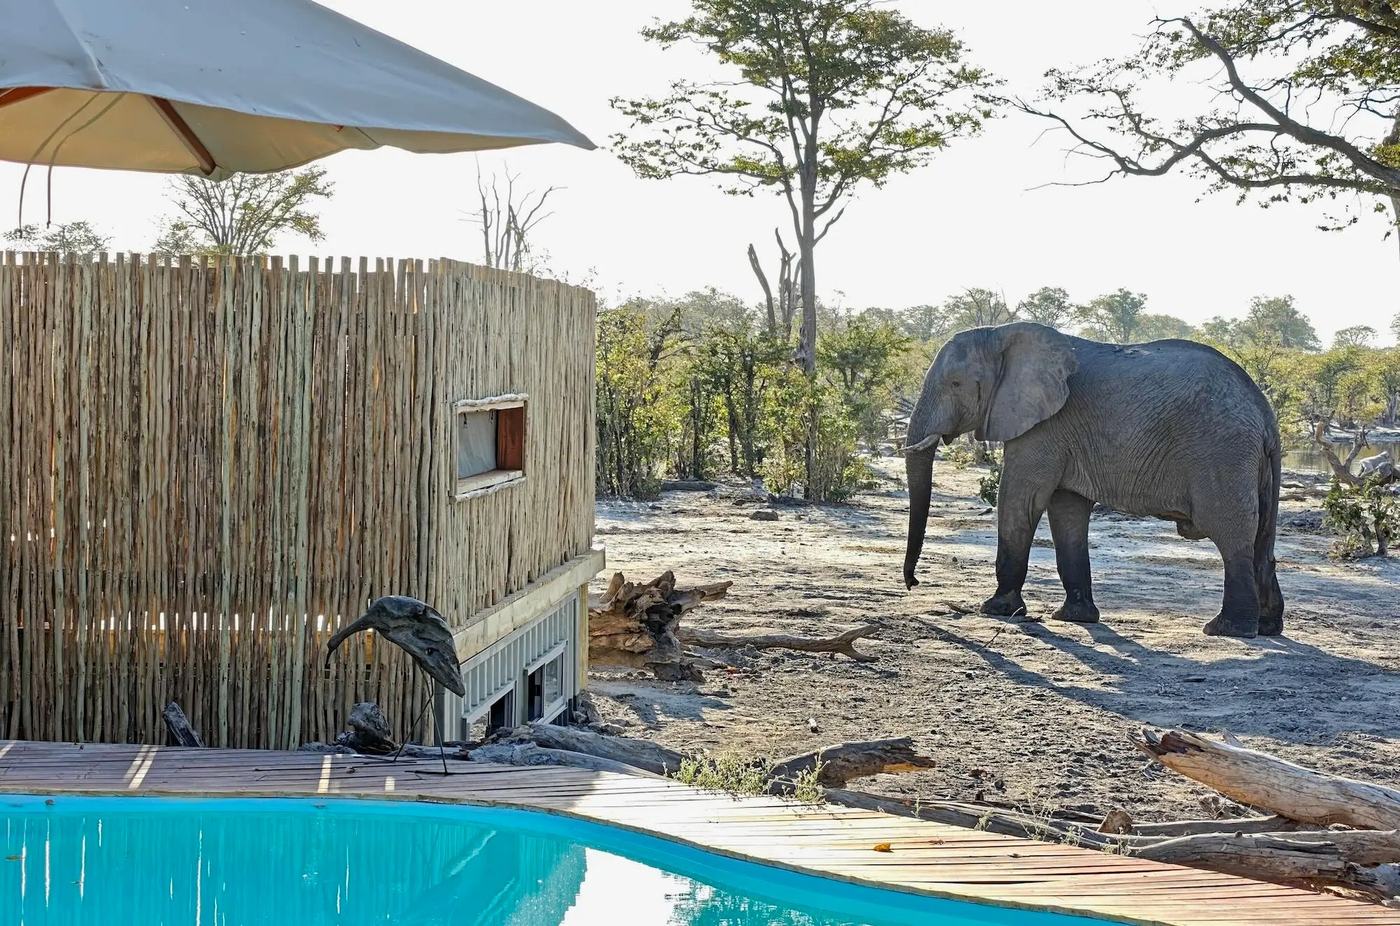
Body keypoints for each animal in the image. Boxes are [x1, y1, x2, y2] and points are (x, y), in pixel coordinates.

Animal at [902, 322, 1283, 639]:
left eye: (955, 384)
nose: (913, 583)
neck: (1000, 335)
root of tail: (1265, 413)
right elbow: (1067, 511)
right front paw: (1075, 617)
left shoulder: (1044, 427)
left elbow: (1019, 498)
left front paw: (996, 609)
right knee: (1263, 542)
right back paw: (1267, 627)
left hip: (1223, 454)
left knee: (1232, 537)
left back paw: (1227, 629)